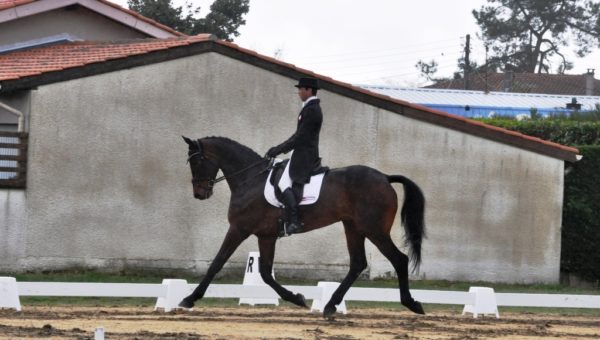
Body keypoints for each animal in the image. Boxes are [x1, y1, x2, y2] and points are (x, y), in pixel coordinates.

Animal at [178, 135, 426, 316]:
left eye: (197, 161)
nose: (199, 193)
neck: (250, 179)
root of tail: (384, 177)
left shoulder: (239, 229)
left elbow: (217, 263)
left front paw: (189, 299)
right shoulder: (266, 235)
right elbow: (265, 273)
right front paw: (297, 299)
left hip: (374, 229)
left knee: (399, 259)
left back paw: (412, 304)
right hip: (353, 227)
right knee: (358, 263)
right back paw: (330, 306)